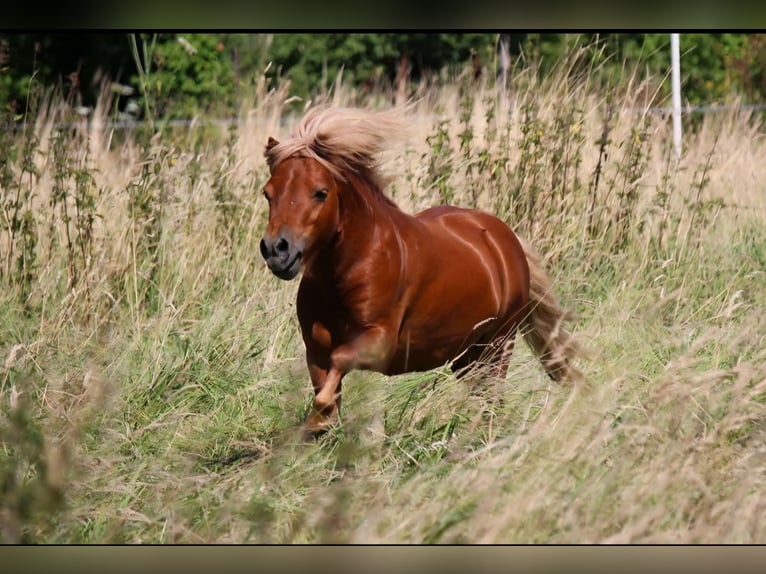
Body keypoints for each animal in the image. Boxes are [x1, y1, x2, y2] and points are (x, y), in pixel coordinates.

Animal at [259, 106, 580, 436]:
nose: (277, 250)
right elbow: (327, 397)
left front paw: (318, 422)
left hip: (498, 344)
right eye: (268, 193)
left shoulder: (378, 341)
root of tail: (506, 239)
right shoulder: (315, 352)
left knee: (493, 398)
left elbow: (333, 377)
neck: (346, 270)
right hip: (466, 356)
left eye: (321, 193)